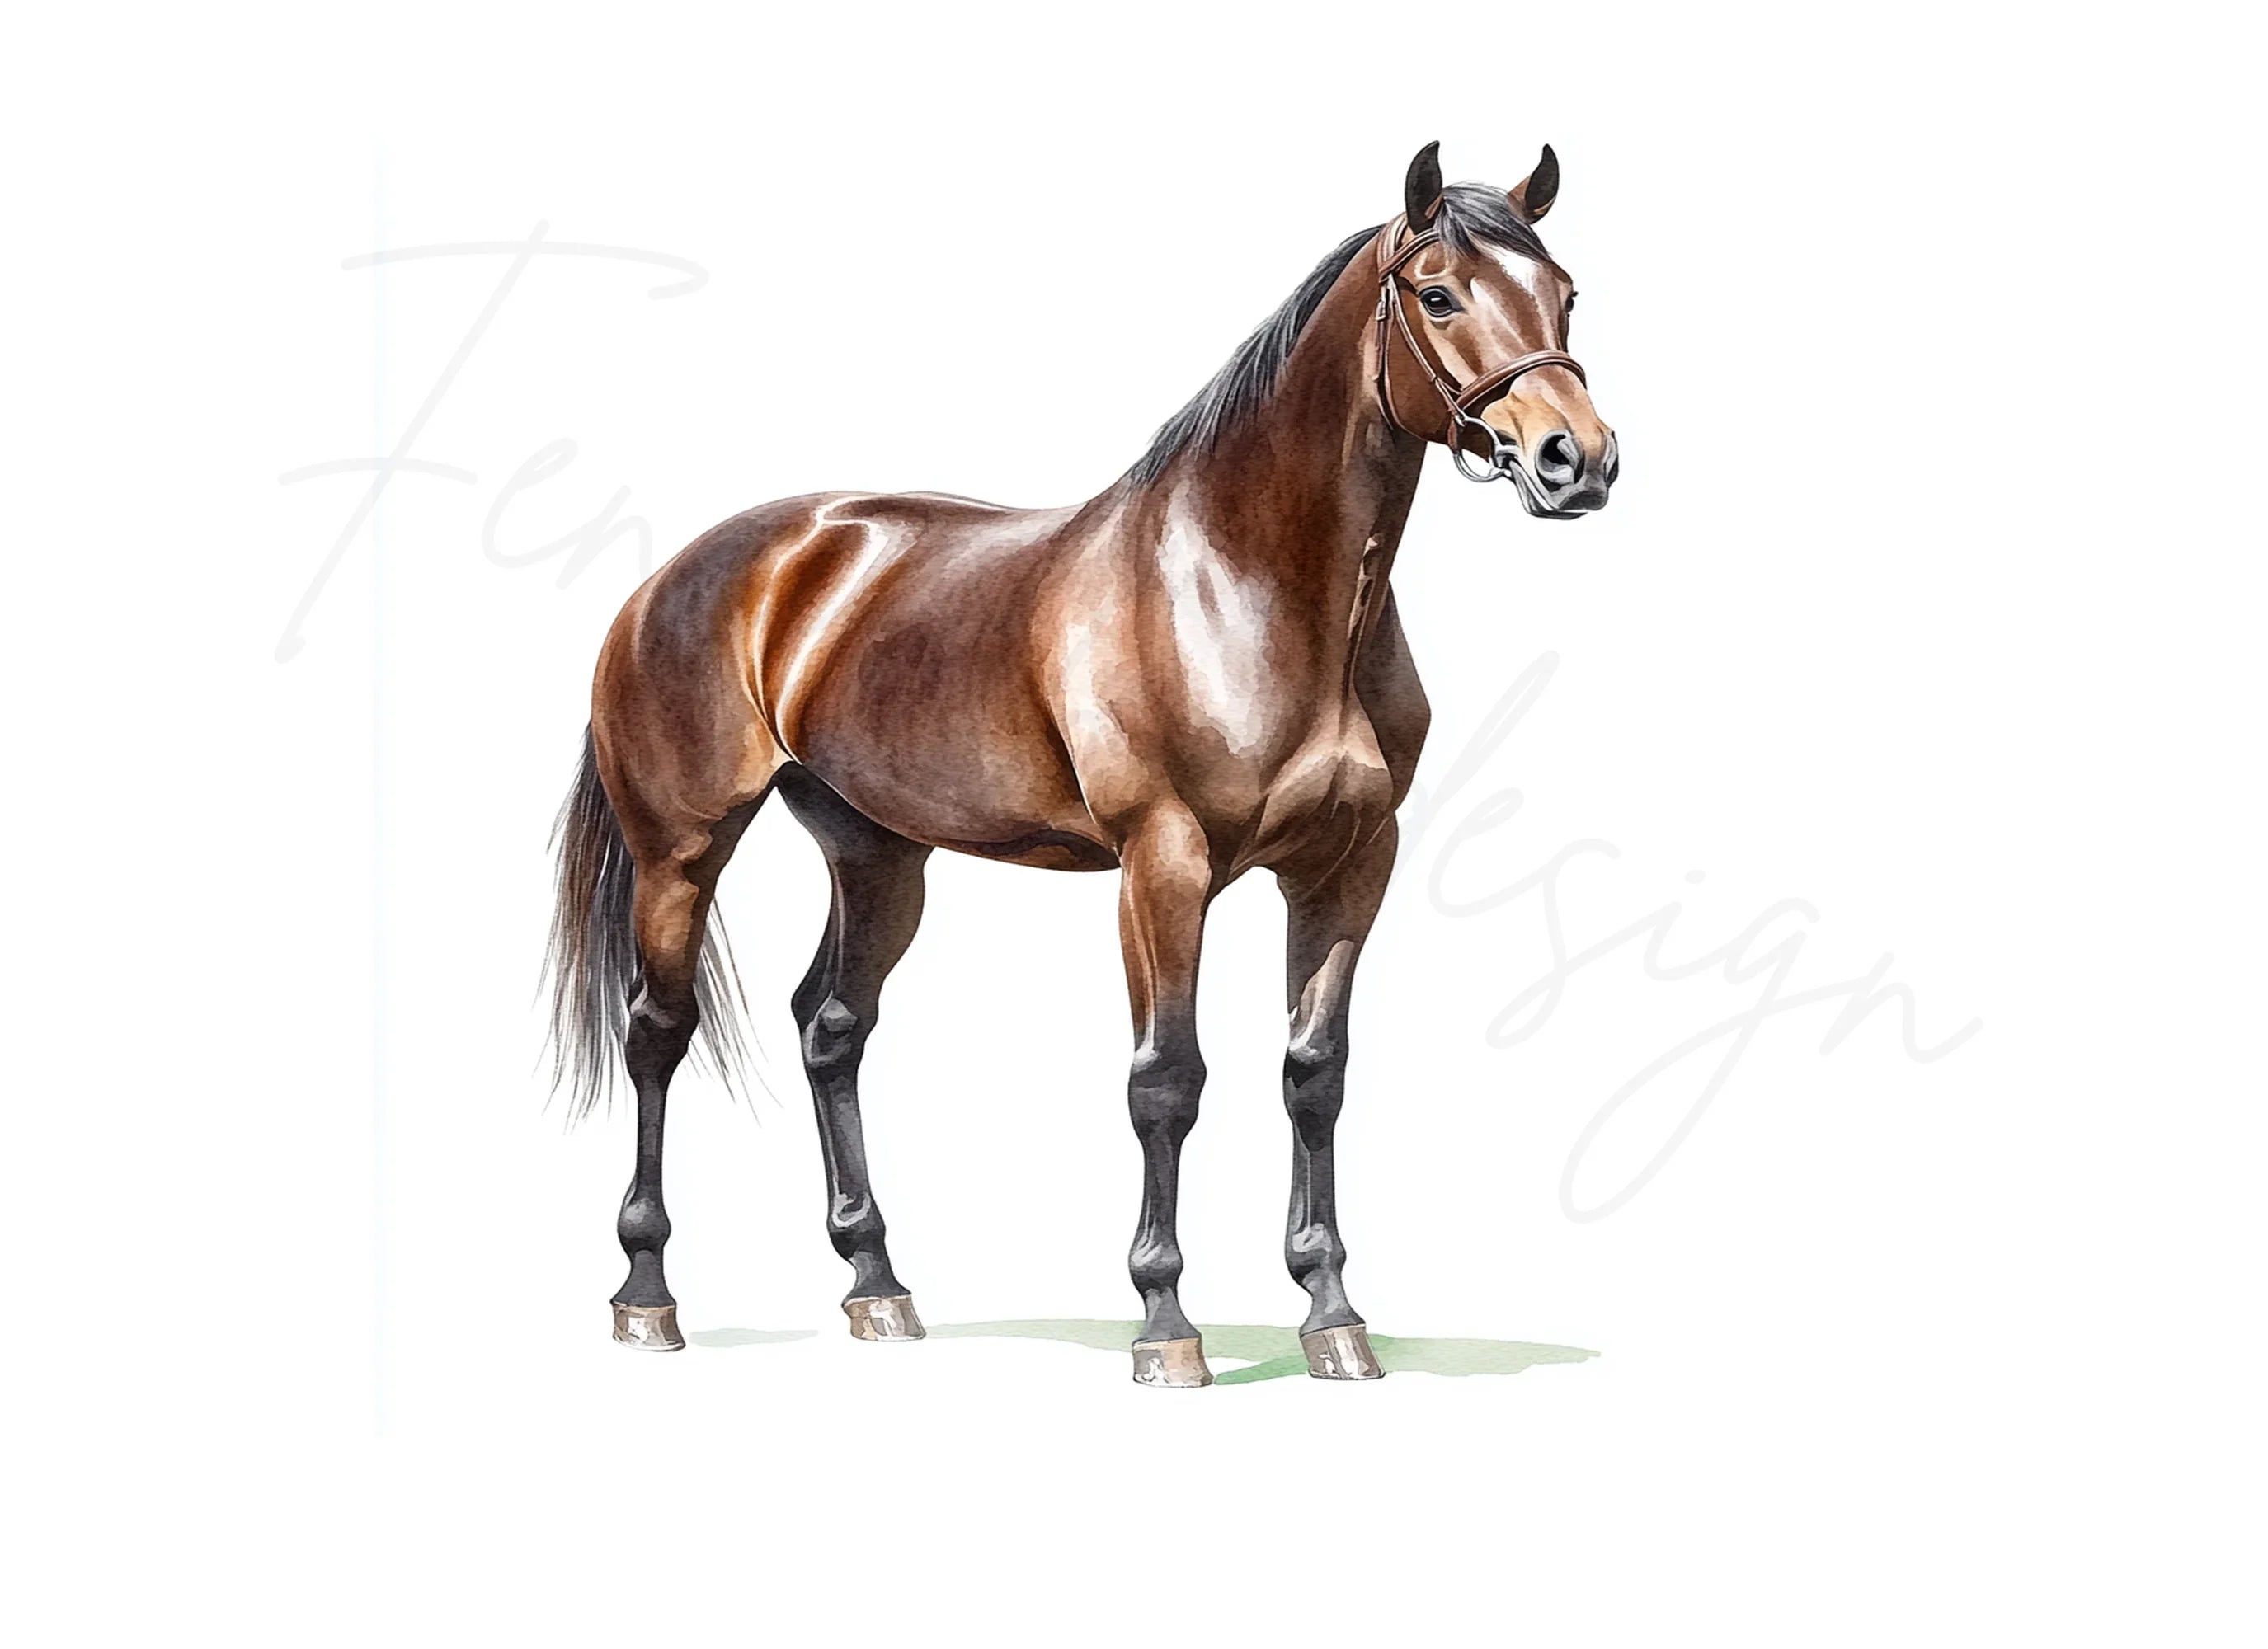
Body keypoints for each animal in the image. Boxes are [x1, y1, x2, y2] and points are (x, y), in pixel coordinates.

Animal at [546, 141, 1617, 1386]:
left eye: (1565, 294)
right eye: (1437, 294)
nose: (1575, 460)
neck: (1243, 584)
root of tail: (679, 575)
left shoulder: (1349, 867)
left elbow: (1315, 1075)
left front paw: (1333, 1317)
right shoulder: (1164, 864)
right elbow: (1165, 1080)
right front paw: (1165, 1325)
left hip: (876, 855)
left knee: (830, 1025)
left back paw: (877, 1286)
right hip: (680, 852)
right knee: (656, 1034)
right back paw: (647, 1296)